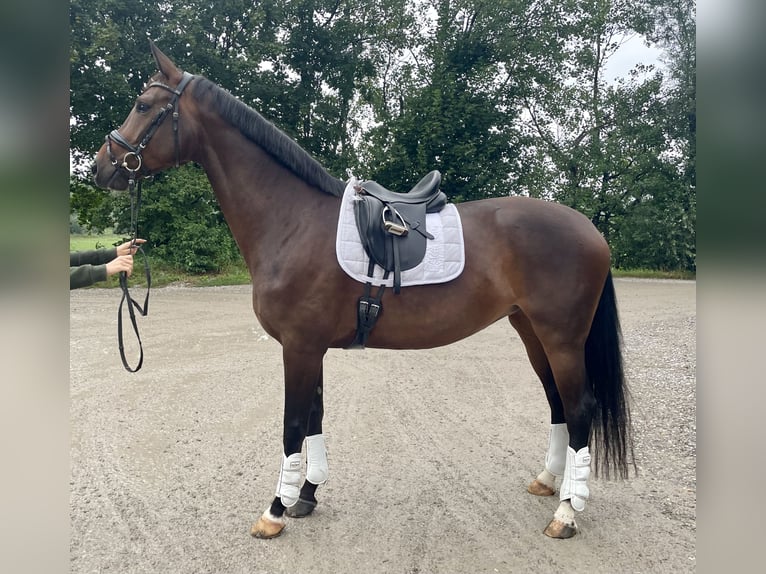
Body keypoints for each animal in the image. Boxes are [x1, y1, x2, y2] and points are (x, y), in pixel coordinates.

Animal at [93, 42, 636, 544]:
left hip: (561, 337)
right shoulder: (309, 347)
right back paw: (549, 482)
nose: (102, 167)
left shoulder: (299, 347)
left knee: (580, 408)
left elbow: (293, 425)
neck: (292, 221)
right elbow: (314, 418)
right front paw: (306, 495)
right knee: (558, 403)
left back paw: (567, 513)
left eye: (143, 104)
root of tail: (590, 229)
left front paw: (275, 511)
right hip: (531, 331)